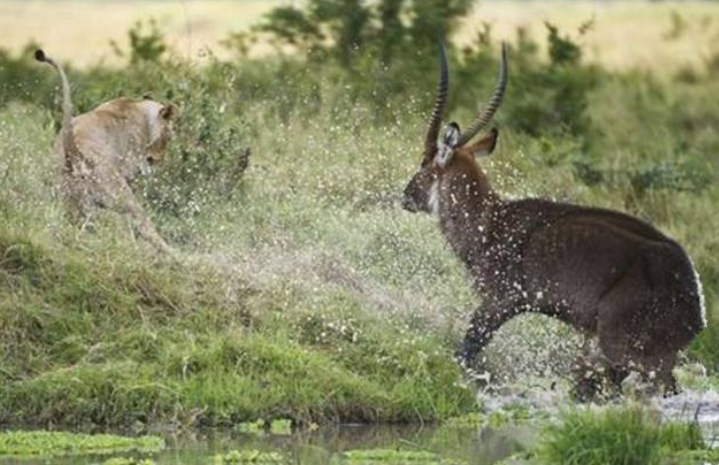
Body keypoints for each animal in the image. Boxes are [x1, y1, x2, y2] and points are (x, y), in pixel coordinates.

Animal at [402, 41, 704, 394]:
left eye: (424, 163)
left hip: (629, 348)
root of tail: (696, 306)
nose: (405, 195)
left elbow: (466, 349)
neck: (490, 223)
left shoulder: (500, 301)